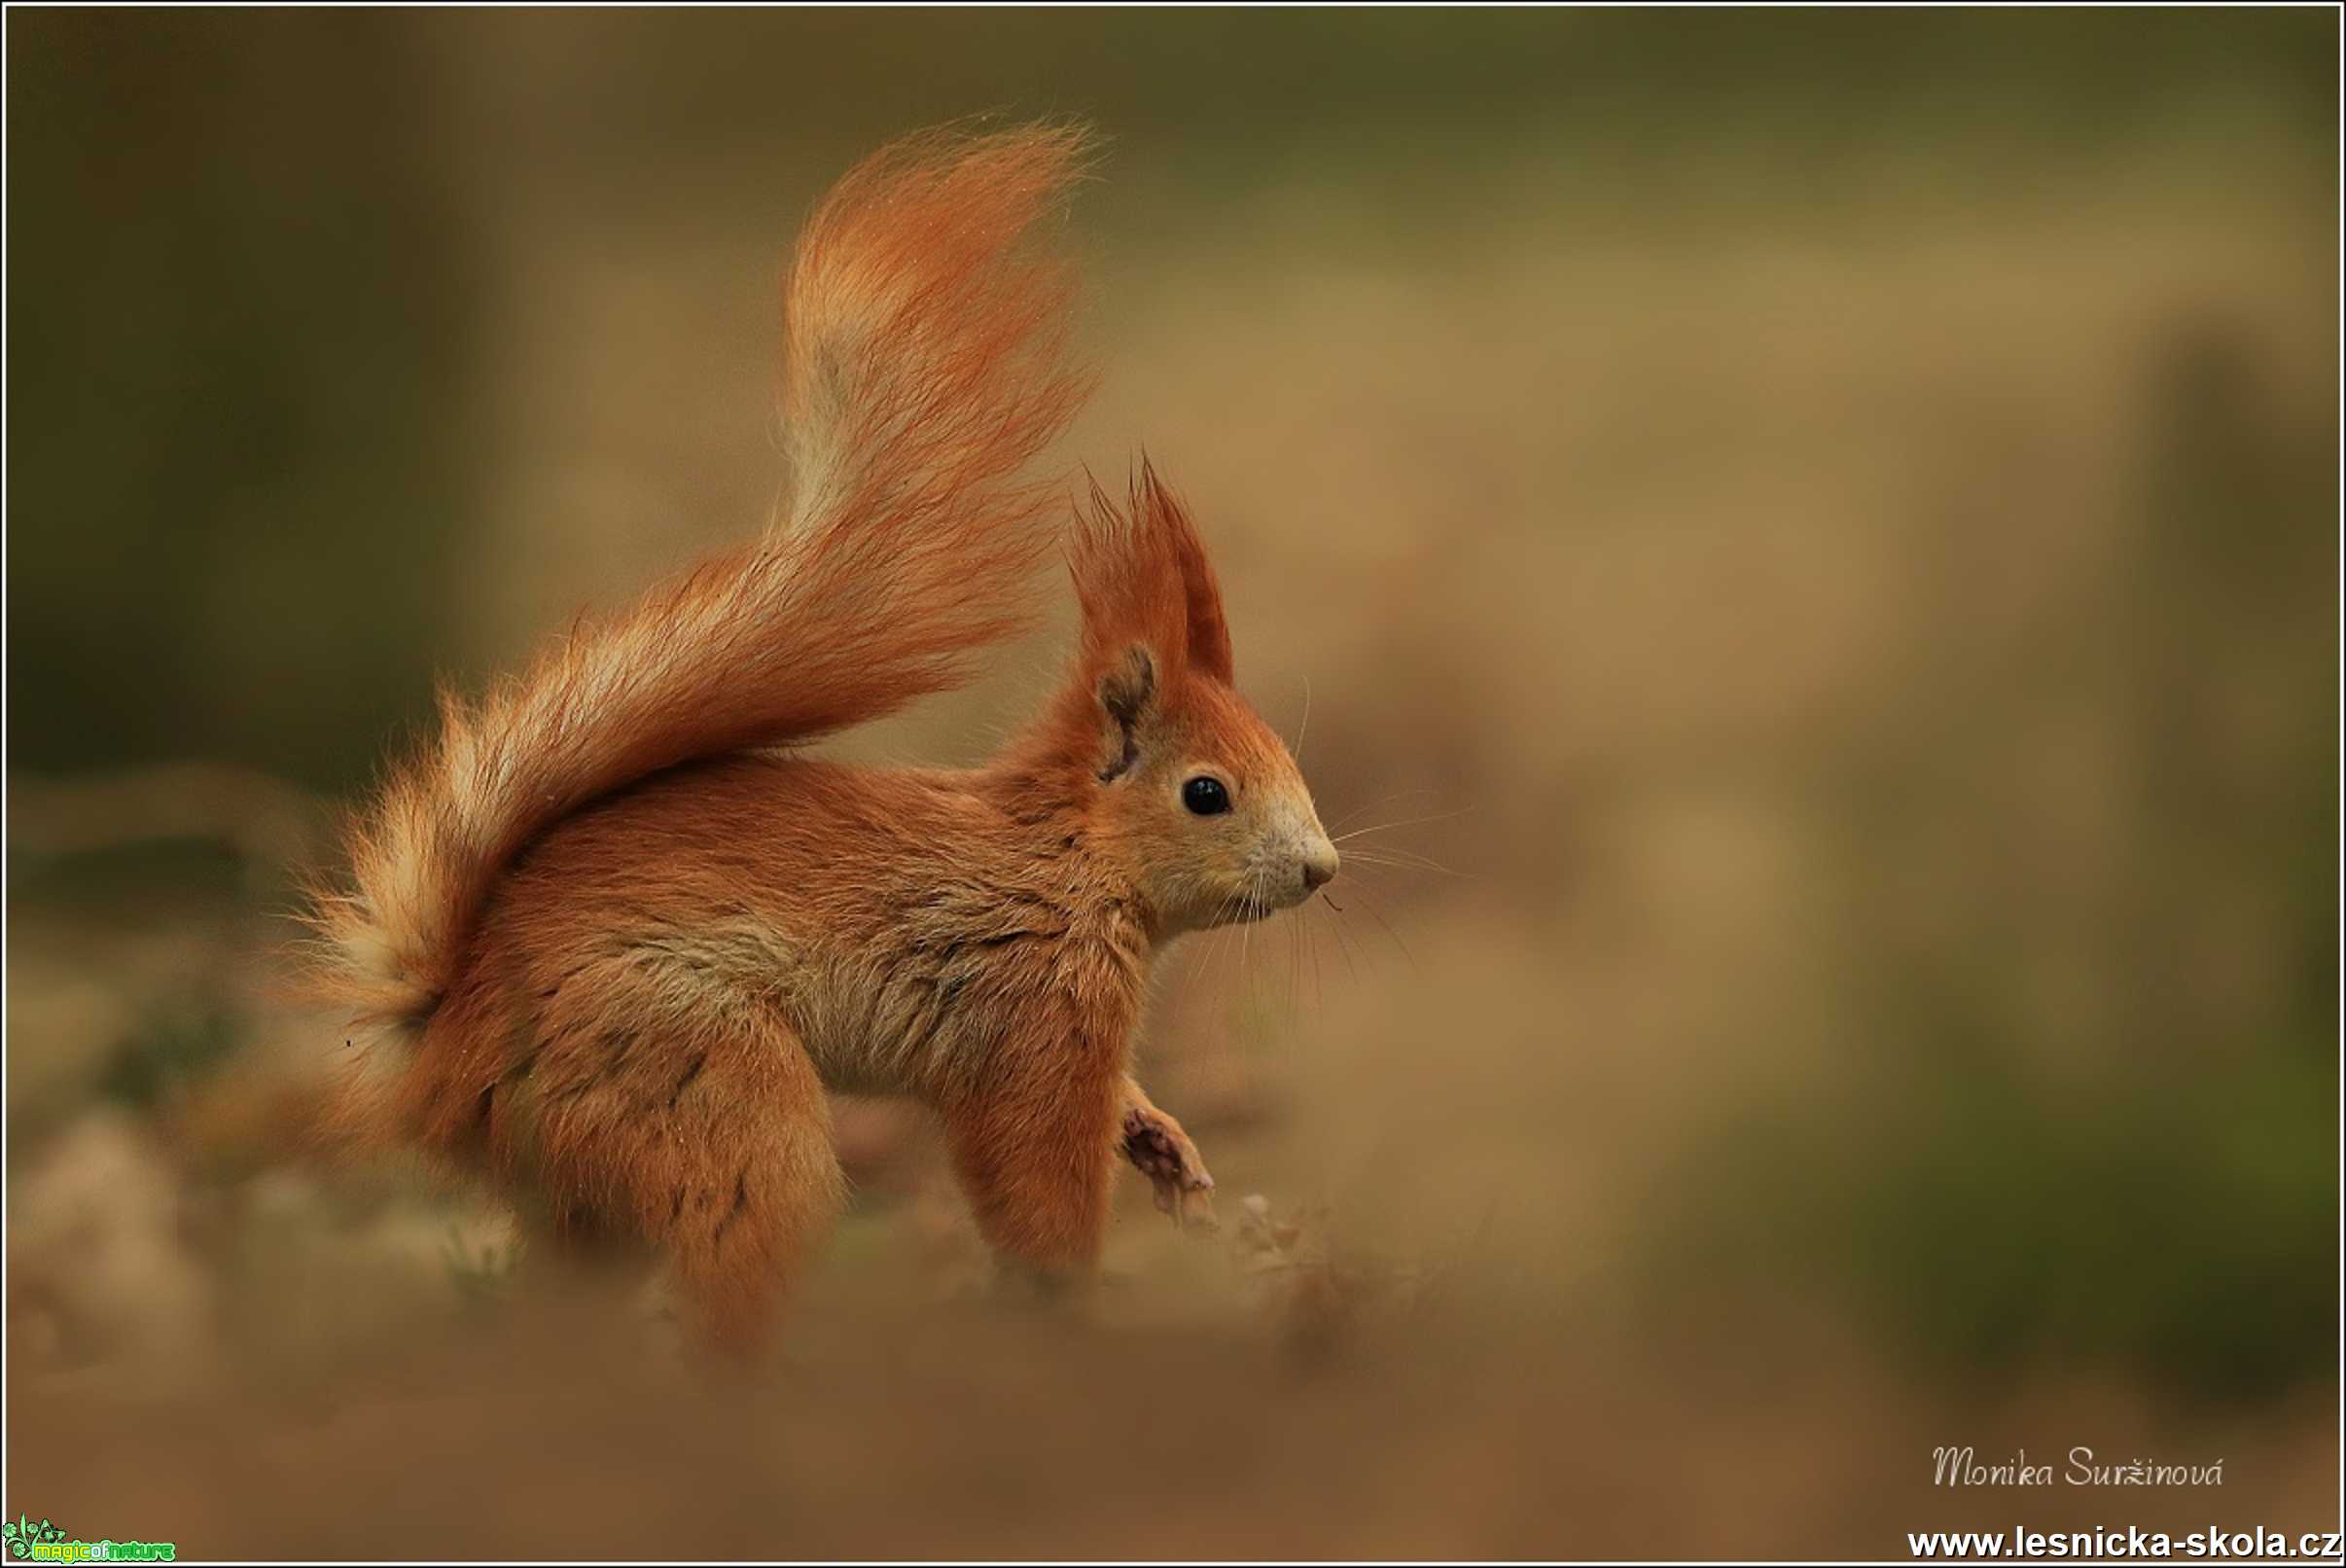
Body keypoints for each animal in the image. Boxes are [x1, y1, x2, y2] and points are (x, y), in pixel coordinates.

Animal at [302, 125, 1341, 1351]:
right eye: (1207, 793)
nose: (1322, 868)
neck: (1069, 859)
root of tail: (444, 1038)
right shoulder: (1036, 1020)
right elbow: (1032, 1179)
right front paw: (1072, 1303)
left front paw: (1163, 1143)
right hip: (705, 1088)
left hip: (584, 1174)